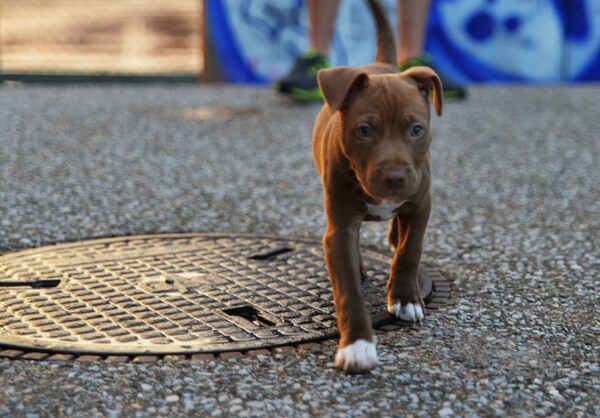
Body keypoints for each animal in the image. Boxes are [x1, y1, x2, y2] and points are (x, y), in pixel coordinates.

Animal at [312, 0, 442, 372]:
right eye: (365, 131)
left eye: (416, 130)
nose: (395, 178)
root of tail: (382, 63)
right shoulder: (339, 227)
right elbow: (347, 289)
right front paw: (357, 346)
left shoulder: (422, 201)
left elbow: (411, 250)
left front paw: (405, 298)